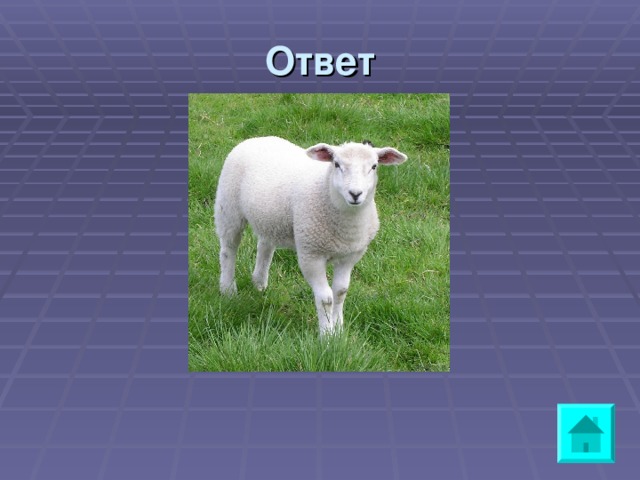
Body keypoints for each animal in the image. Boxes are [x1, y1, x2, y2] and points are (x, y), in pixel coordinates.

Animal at [214, 136, 407, 336]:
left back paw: (259, 283)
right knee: (228, 250)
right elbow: (326, 298)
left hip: (270, 219)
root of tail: (257, 138)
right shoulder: (311, 255)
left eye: (374, 166)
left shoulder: (350, 256)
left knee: (265, 246)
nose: (355, 194)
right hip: (228, 208)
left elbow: (340, 292)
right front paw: (327, 335)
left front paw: (338, 329)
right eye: (336, 164)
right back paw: (228, 289)